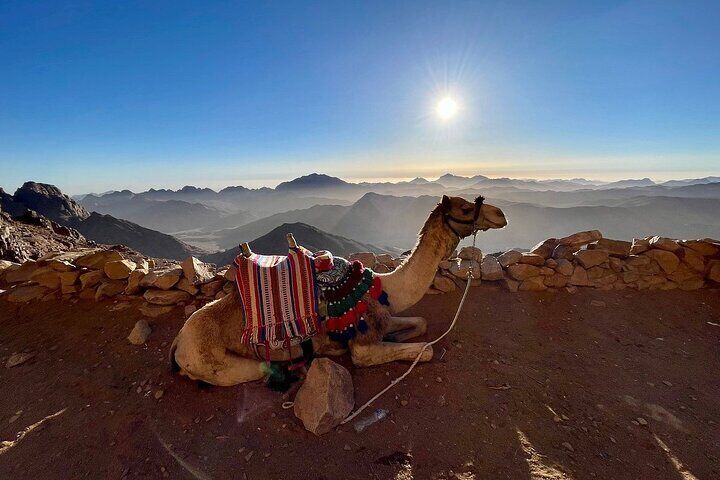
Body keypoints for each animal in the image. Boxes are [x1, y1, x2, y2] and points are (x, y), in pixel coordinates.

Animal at [169, 195, 506, 386]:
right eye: (466, 207)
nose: (501, 214)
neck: (384, 286)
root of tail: (178, 343)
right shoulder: (361, 345)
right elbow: (425, 350)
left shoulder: (380, 317)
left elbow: (420, 323)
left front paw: (398, 336)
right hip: (214, 362)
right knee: (259, 369)